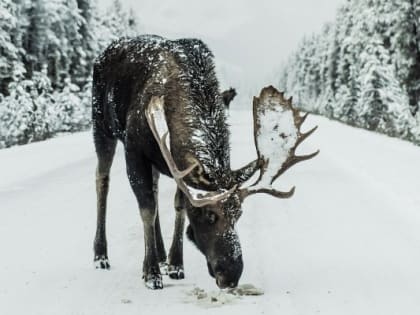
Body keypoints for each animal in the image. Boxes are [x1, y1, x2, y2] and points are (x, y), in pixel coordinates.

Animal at [90, 35, 316, 292]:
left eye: (239, 214)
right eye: (209, 215)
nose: (231, 275)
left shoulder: (178, 165)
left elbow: (178, 205)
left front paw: (176, 264)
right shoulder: (134, 150)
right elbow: (147, 208)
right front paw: (151, 273)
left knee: (155, 188)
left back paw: (161, 253)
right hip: (101, 127)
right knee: (102, 180)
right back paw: (101, 255)